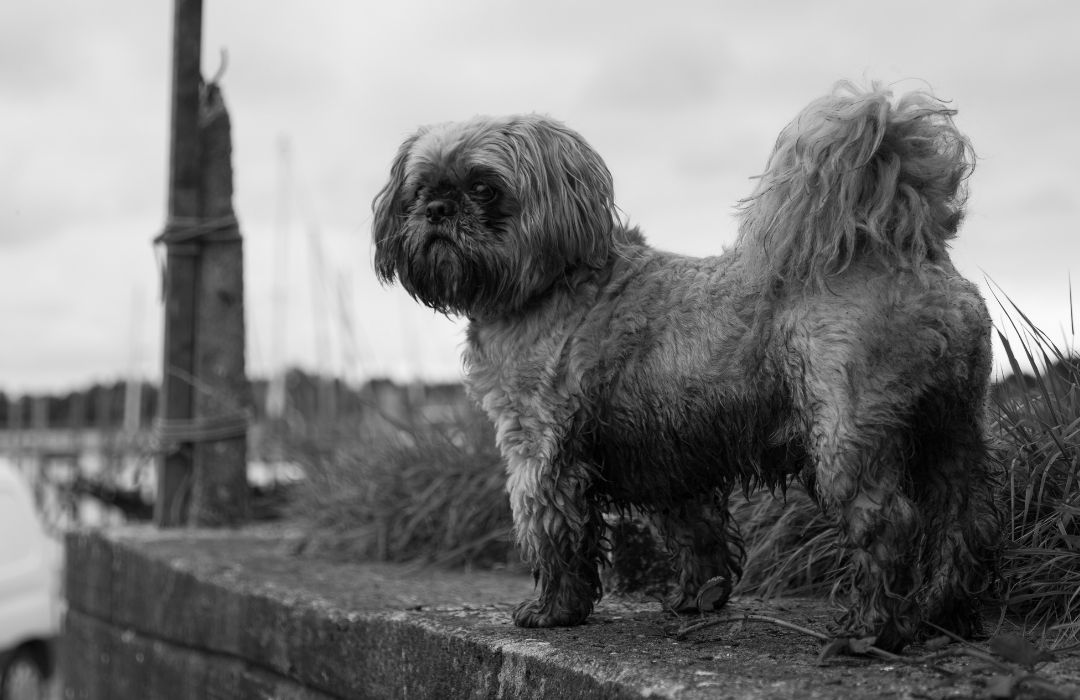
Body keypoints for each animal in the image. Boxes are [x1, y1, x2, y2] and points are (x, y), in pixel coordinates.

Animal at [373, 83, 1002, 656]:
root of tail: (909, 252)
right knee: (962, 523)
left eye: (484, 187)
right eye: (420, 189)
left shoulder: (539, 450)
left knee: (889, 524)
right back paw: (944, 614)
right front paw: (699, 598)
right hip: (952, 432)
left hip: (846, 440)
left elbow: (554, 534)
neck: (552, 280)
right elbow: (696, 531)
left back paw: (871, 631)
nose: (437, 210)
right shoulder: (674, 455)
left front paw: (553, 611)